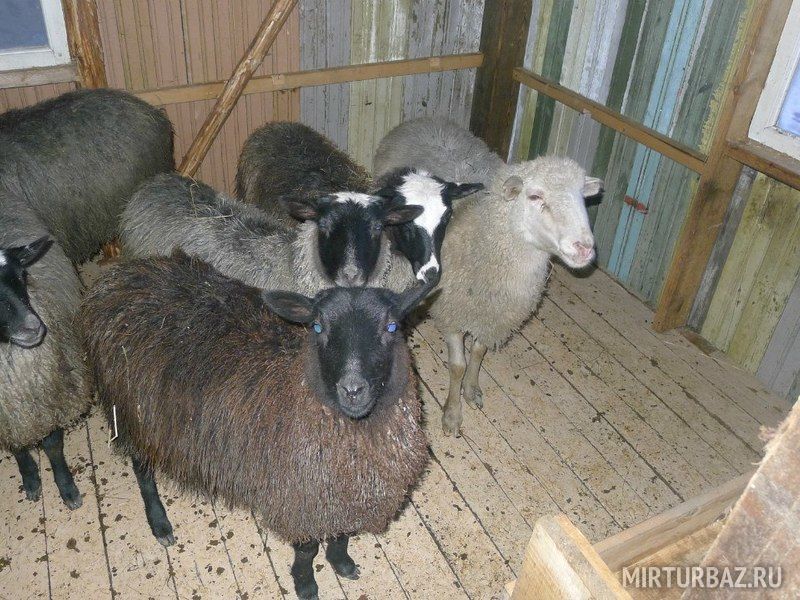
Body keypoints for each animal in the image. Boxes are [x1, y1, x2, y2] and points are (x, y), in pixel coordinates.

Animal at [0, 203, 89, 509]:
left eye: (21, 275)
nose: (34, 327)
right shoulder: (10, 415)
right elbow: (17, 448)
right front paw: (30, 478)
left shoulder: (50, 395)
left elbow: (52, 446)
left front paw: (67, 487)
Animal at [80, 250, 433, 600]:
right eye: (318, 327)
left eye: (391, 326)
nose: (353, 389)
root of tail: (122, 275)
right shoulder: (299, 495)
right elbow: (307, 550)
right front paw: (305, 584)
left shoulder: (341, 496)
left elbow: (341, 534)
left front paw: (342, 562)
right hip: (133, 411)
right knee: (141, 468)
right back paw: (160, 524)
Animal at [374, 118, 604, 436]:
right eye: (535, 196)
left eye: (583, 197)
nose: (584, 248)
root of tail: (424, 120)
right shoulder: (452, 311)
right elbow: (457, 366)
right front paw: (452, 414)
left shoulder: (492, 315)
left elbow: (479, 352)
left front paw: (471, 390)